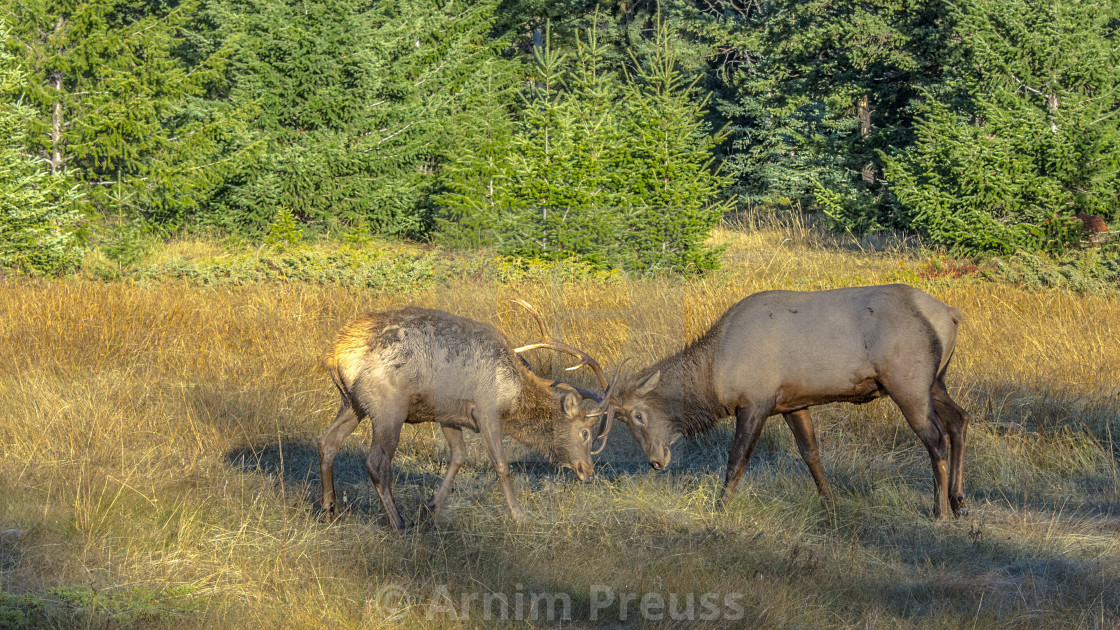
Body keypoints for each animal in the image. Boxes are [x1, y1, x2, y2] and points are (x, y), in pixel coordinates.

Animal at [315, 302, 613, 526]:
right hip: (388, 406)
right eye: (585, 432)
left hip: (352, 402)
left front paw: (432, 507)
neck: (514, 396)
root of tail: (336, 354)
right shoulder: (487, 410)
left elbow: (458, 456)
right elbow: (502, 466)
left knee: (327, 442)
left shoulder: (449, 413)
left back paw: (328, 509)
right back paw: (398, 522)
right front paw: (520, 516)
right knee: (376, 462)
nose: (589, 473)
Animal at [600, 283, 976, 515]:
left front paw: (719, 508)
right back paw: (959, 500)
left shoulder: (755, 402)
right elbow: (811, 454)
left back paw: (940, 510)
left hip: (908, 383)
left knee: (936, 438)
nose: (655, 461)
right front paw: (831, 505)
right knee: (960, 418)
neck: (715, 375)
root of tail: (952, 314)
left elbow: (737, 460)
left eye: (638, 415)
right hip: (935, 381)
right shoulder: (794, 403)